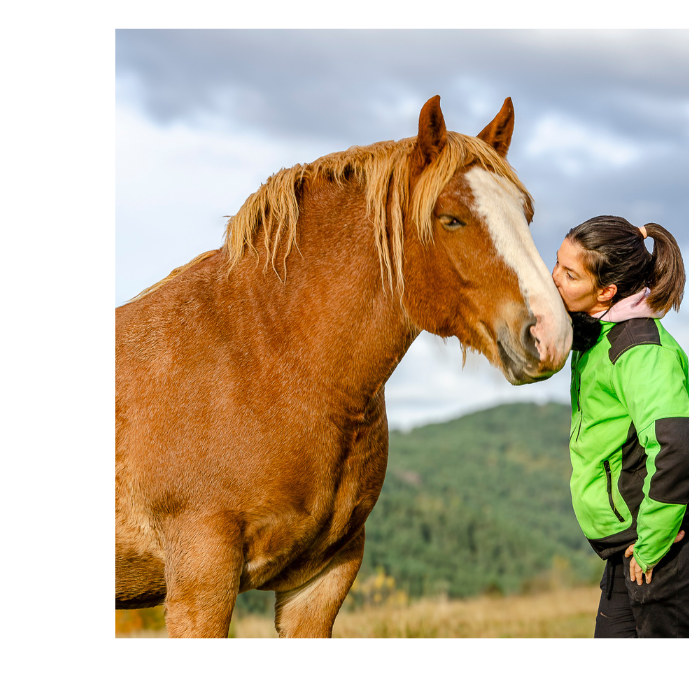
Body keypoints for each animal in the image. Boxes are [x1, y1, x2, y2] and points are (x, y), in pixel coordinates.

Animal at [117, 95, 568, 636]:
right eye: (451, 219)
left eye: (526, 213)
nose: (551, 332)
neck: (264, 357)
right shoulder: (201, 578)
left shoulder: (323, 580)